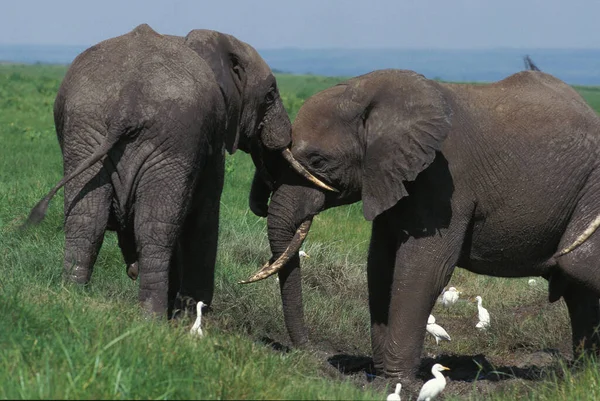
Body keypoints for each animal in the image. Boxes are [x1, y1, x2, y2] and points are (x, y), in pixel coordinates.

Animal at [23, 24, 330, 318]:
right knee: (155, 229)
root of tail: (126, 103)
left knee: (87, 219)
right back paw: (153, 318)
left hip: (87, 130)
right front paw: (192, 315)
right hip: (169, 141)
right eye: (270, 95)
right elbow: (205, 215)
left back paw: (73, 298)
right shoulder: (211, 141)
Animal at [241, 68, 600, 378]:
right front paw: (382, 372)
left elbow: (424, 266)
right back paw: (583, 374)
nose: (309, 352)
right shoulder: (389, 176)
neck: (370, 94)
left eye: (318, 161)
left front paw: (396, 379)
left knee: (577, 266)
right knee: (578, 290)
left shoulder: (445, 179)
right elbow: (380, 264)